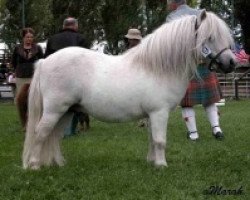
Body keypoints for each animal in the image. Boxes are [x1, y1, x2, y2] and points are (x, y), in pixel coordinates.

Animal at [22, 10, 235, 170]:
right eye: (210, 37)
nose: (231, 63)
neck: (157, 68)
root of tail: (44, 62)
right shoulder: (159, 113)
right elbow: (160, 140)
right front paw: (162, 165)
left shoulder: (151, 115)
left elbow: (152, 139)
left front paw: (153, 162)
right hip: (54, 110)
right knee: (41, 133)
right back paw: (34, 165)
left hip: (67, 111)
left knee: (54, 136)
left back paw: (59, 163)